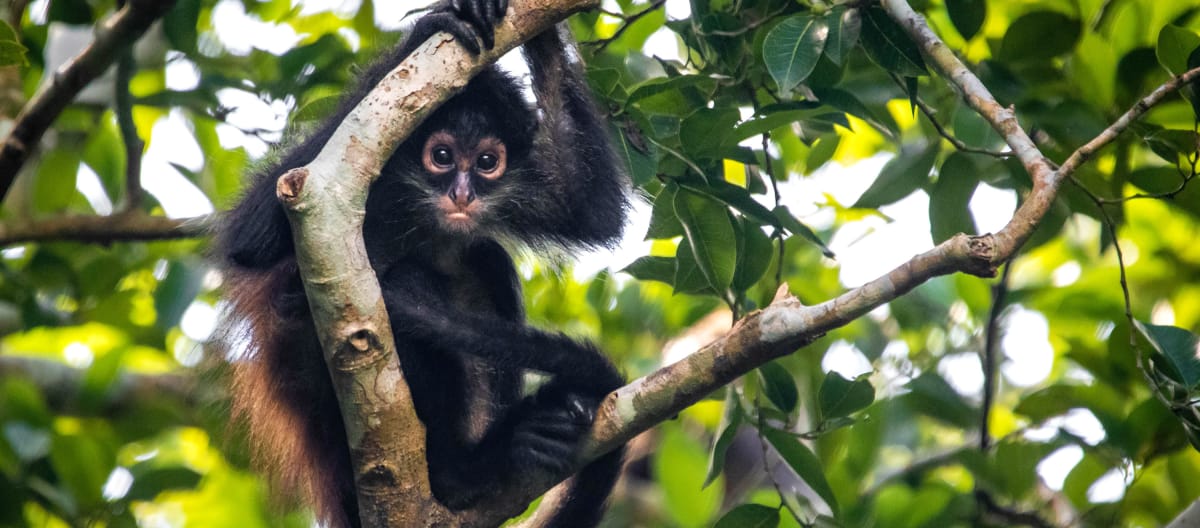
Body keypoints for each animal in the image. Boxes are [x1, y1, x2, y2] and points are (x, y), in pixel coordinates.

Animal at [214, 2, 628, 525]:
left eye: (487, 162)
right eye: (443, 156)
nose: (462, 194)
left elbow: (590, 210)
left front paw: (542, 30)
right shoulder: (373, 185)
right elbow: (251, 239)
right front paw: (426, 32)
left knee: (486, 258)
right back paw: (460, 472)